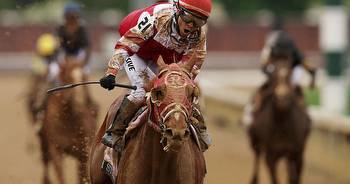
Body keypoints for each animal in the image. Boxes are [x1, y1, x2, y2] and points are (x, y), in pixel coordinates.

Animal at [247, 50, 310, 184]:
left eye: (290, 72)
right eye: (273, 72)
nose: (282, 96)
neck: (283, 127)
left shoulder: (297, 153)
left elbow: (295, 177)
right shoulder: (271, 156)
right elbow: (275, 178)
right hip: (255, 141)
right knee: (257, 155)